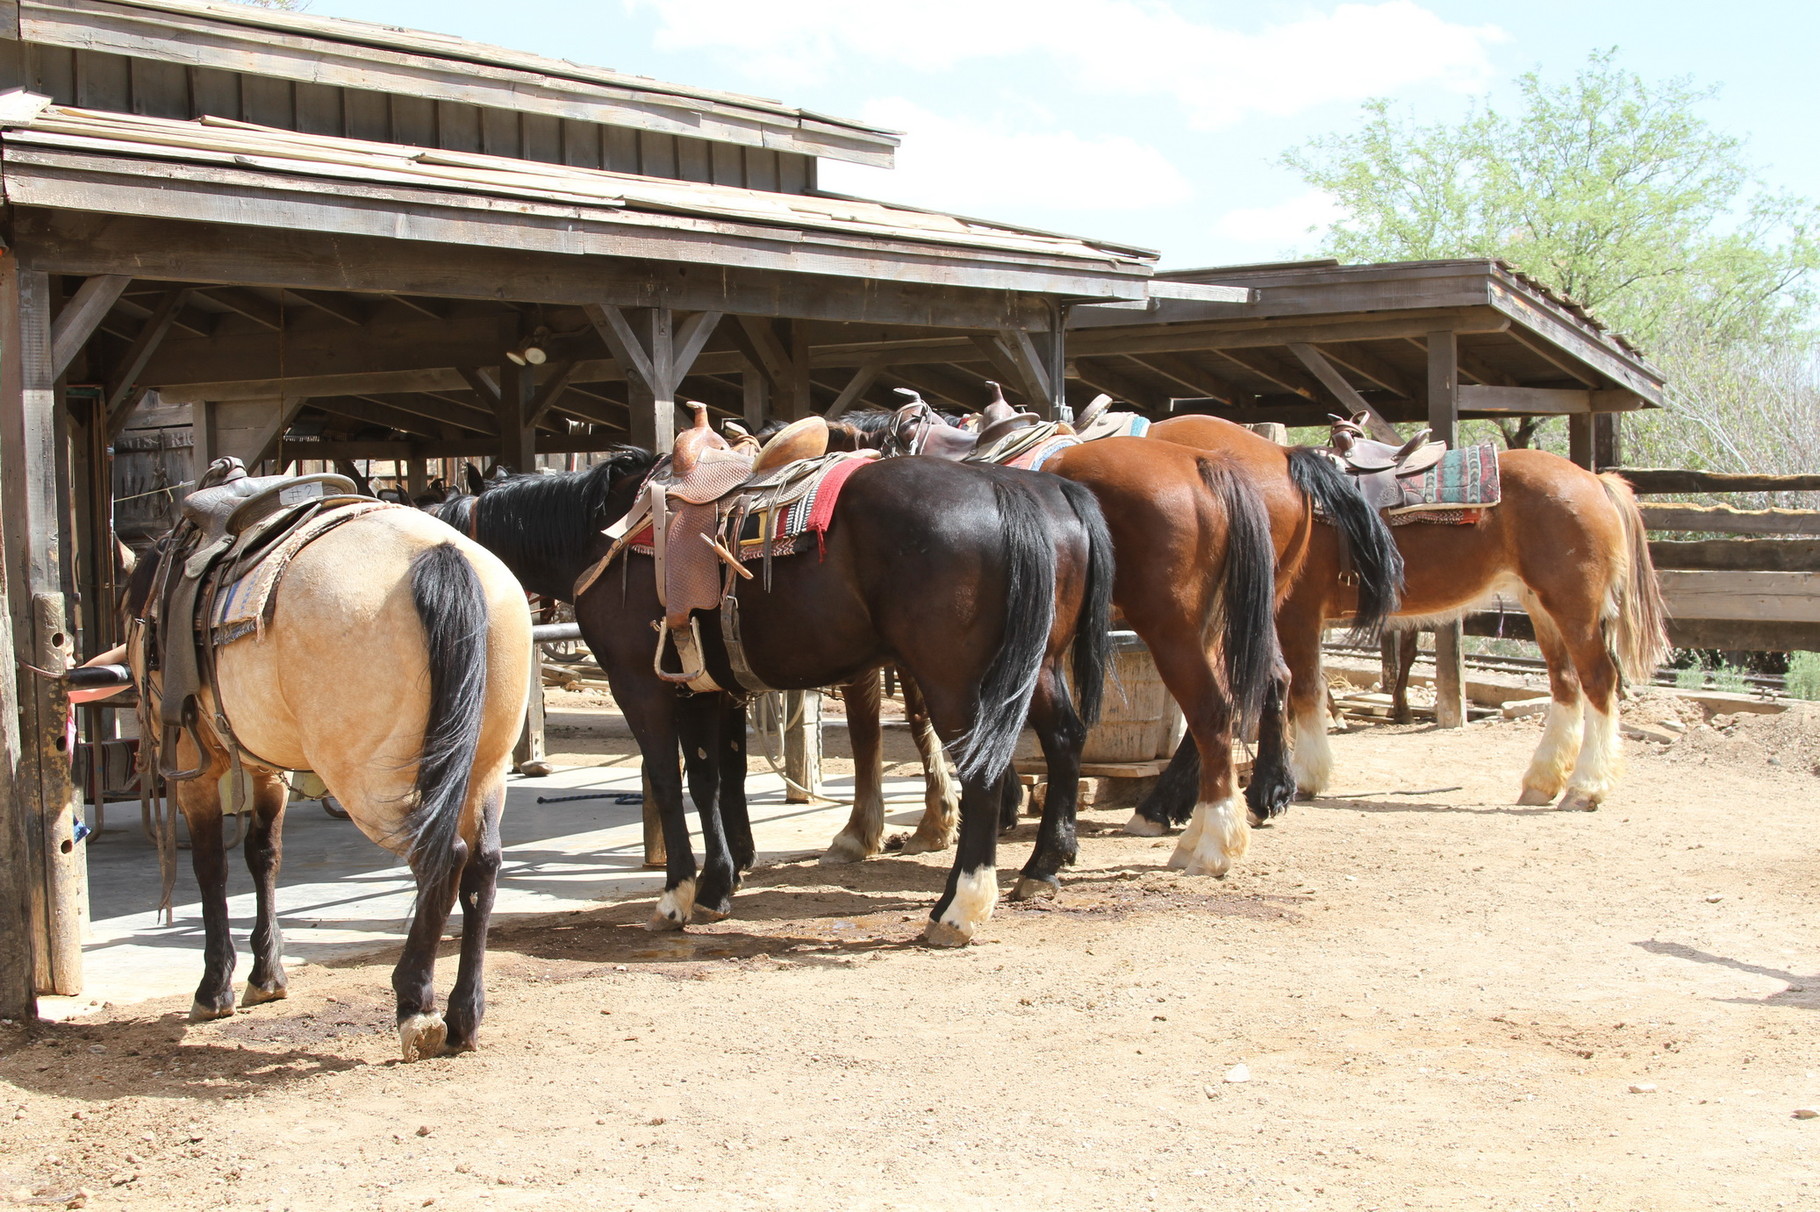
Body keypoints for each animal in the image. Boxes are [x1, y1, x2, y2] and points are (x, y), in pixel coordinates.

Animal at [129, 480, 531, 1055]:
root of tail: (440, 553)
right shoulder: (265, 765)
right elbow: (264, 855)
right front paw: (266, 976)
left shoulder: (195, 764)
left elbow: (211, 867)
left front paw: (214, 988)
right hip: (484, 769)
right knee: (482, 865)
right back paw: (463, 1015)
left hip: (369, 782)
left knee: (442, 856)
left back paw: (416, 1004)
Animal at [440, 434, 1106, 946]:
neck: (604, 535)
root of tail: (1007, 489)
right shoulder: (707, 690)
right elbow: (713, 778)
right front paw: (720, 883)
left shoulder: (642, 686)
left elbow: (667, 781)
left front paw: (677, 897)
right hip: (1038, 668)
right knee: (1066, 741)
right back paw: (1042, 868)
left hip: (954, 681)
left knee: (984, 774)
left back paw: (958, 909)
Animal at [1142, 413, 1667, 811]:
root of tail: (1595, 481)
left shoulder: (1293, 615)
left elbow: (1302, 691)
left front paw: (1303, 779)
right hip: (1541, 607)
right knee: (1566, 685)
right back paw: (1543, 781)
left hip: (1574, 606)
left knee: (1599, 681)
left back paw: (1586, 788)